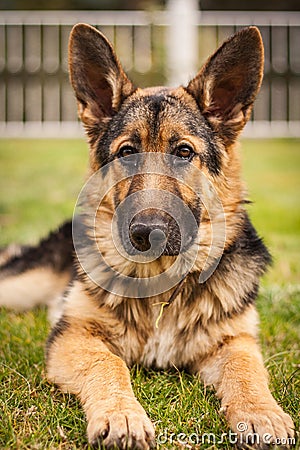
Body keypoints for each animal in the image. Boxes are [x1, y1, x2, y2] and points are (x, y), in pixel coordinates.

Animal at [0, 25, 296, 450]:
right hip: (20, 289)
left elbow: (246, 371)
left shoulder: (234, 340)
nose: (145, 233)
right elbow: (107, 363)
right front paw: (122, 415)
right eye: (127, 152)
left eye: (184, 152)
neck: (162, 283)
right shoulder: (74, 335)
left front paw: (262, 413)